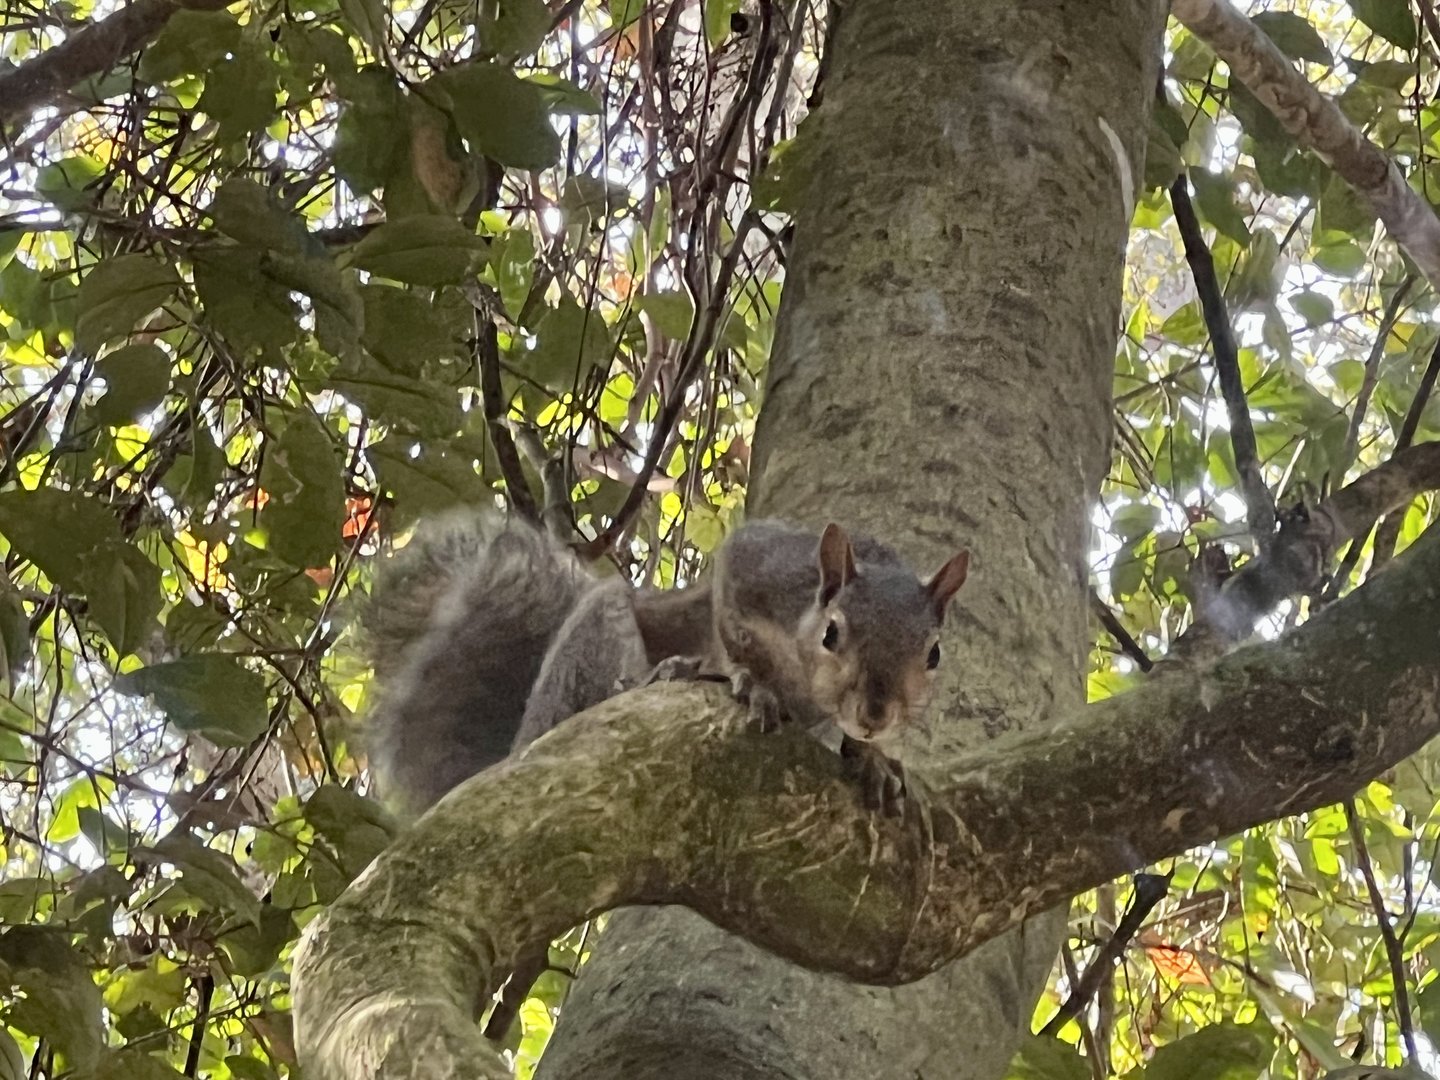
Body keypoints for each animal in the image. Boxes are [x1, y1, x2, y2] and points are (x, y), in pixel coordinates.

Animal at [364, 511, 970, 818]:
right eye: (832, 632)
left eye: (934, 653)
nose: (874, 713)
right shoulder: (759, 569)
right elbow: (735, 626)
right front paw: (754, 683)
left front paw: (871, 757)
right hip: (587, 658)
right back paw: (662, 674)